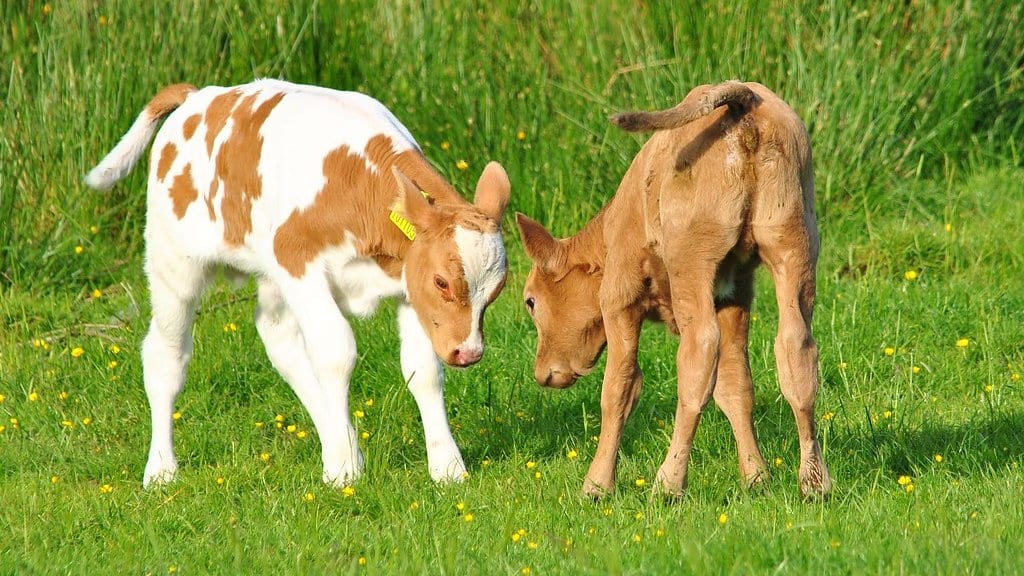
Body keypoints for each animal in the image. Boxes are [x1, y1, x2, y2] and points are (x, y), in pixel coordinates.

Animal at [85, 79, 511, 488]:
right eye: (442, 281)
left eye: (496, 290)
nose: (468, 353)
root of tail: (198, 96)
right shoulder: (298, 263)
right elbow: (336, 353)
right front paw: (343, 474)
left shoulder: (410, 289)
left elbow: (422, 370)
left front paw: (447, 468)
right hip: (173, 261)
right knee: (166, 354)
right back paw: (161, 470)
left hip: (269, 277)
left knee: (278, 337)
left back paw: (343, 445)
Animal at [515, 81, 832, 499]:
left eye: (531, 301)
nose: (543, 374)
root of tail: (741, 97)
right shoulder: (735, 295)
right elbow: (735, 384)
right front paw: (756, 476)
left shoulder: (619, 299)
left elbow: (620, 389)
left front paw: (597, 485)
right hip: (794, 246)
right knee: (796, 348)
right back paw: (815, 482)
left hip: (693, 263)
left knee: (699, 353)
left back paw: (668, 483)